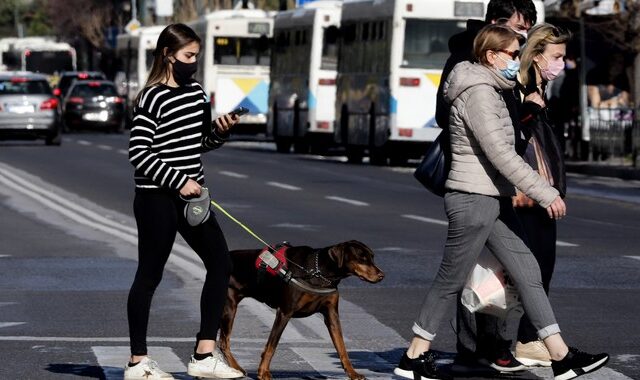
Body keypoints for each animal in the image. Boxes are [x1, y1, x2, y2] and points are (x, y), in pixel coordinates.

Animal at [218, 240, 382, 380]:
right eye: (362, 258)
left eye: (372, 257)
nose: (382, 275)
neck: (319, 271)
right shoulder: (285, 312)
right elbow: (272, 345)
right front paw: (263, 372)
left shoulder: (332, 314)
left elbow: (342, 347)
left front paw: (352, 373)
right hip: (229, 307)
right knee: (224, 342)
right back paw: (236, 368)